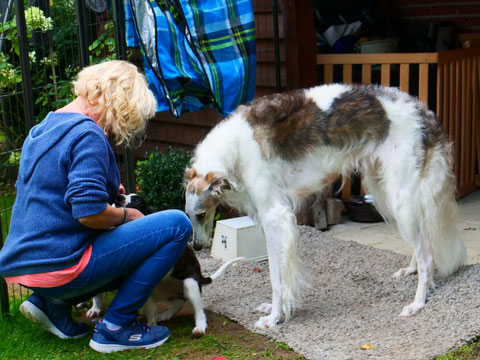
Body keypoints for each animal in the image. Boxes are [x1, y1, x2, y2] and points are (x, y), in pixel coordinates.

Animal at [183, 83, 464, 330]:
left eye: (201, 214)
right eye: (189, 216)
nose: (196, 247)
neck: (236, 148)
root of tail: (422, 109)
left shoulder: (276, 217)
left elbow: (276, 276)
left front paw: (274, 318)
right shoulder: (264, 218)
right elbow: (279, 273)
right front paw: (275, 309)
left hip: (399, 195)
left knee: (427, 257)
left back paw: (418, 302)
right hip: (384, 189)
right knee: (420, 245)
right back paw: (411, 270)